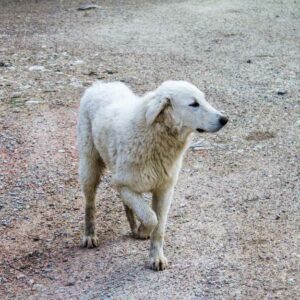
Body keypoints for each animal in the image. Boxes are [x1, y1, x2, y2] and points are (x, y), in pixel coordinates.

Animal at [77, 81, 227, 270]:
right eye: (194, 104)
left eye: (204, 99)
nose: (225, 119)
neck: (155, 134)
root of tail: (100, 84)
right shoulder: (123, 184)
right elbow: (151, 218)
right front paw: (143, 230)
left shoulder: (164, 190)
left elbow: (159, 227)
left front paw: (156, 257)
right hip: (89, 165)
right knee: (90, 203)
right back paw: (90, 235)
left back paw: (133, 227)